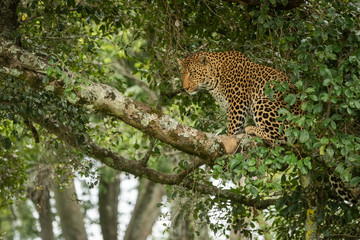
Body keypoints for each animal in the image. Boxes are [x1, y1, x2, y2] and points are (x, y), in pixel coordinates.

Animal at [179, 50, 358, 204]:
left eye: (192, 73)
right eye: (182, 75)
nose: (185, 88)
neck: (213, 79)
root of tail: (312, 126)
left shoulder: (238, 103)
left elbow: (233, 128)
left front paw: (227, 150)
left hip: (265, 103)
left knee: (282, 138)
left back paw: (253, 129)